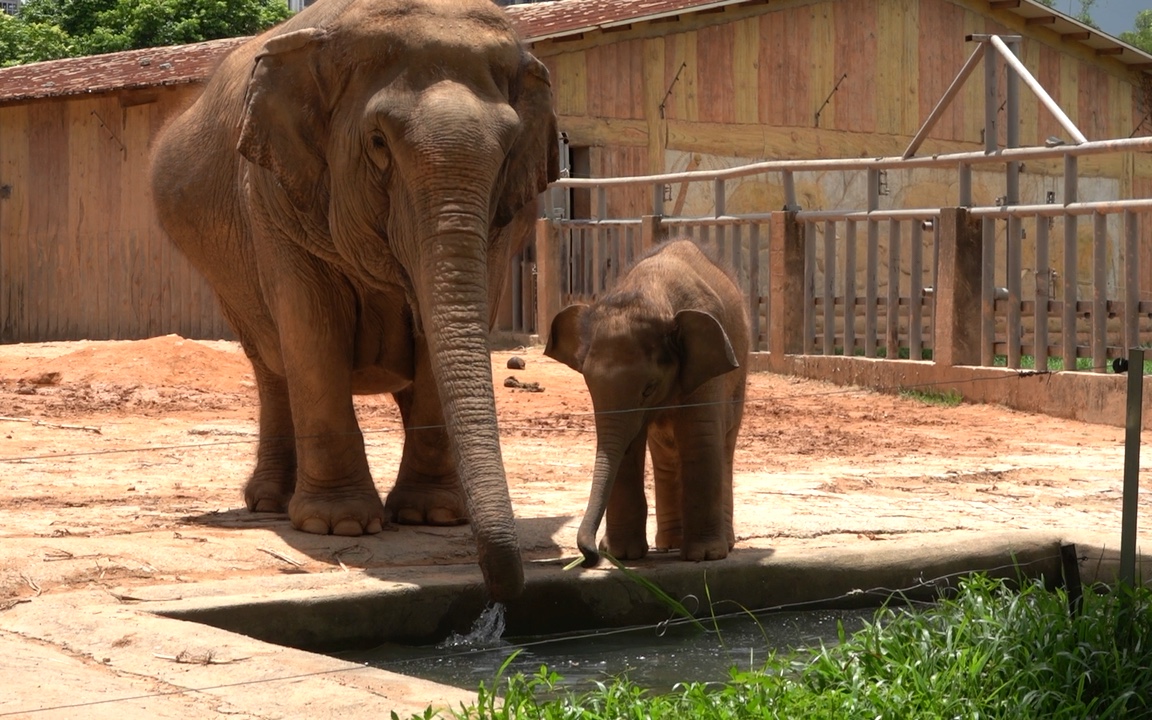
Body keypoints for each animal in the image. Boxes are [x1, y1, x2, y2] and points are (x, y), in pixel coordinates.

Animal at [150, 0, 559, 599]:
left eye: (508, 148)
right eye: (379, 143)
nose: (503, 586)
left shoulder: (509, 216)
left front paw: (433, 517)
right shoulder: (273, 195)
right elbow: (312, 331)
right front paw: (338, 525)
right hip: (224, 272)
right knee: (273, 365)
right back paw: (270, 503)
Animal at [546, 241, 751, 566]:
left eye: (649, 389)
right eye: (588, 385)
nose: (590, 555)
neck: (653, 294)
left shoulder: (706, 368)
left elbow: (700, 437)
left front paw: (704, 557)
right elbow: (627, 449)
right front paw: (623, 555)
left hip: (739, 375)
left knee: (723, 443)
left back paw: (719, 545)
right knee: (665, 449)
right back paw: (669, 544)